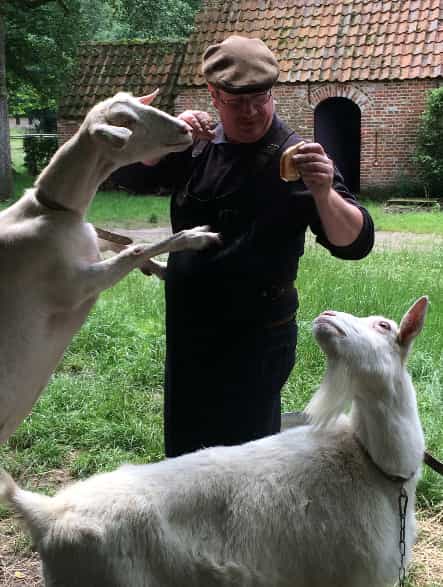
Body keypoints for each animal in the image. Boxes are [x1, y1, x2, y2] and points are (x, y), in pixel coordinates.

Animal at [0, 89, 221, 444]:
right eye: (126, 121)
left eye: (139, 103)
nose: (187, 129)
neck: (49, 211)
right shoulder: (76, 284)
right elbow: (135, 250)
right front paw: (197, 237)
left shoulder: (91, 246)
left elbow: (122, 244)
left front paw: (159, 267)